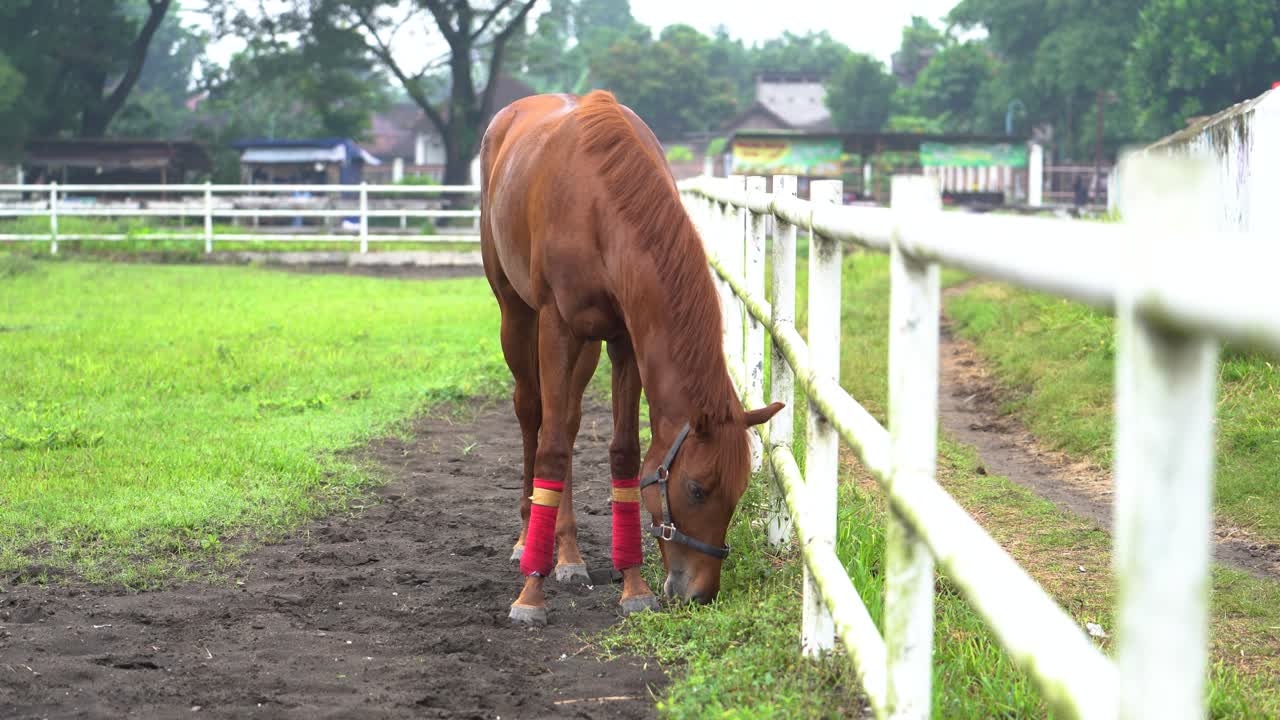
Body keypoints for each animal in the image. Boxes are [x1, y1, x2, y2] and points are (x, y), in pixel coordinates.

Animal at [479, 90, 783, 625]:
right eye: (697, 489)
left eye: (739, 491)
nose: (702, 593)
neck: (601, 202)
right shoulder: (557, 326)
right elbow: (551, 448)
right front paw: (530, 594)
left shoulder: (625, 339)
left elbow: (623, 452)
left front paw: (633, 586)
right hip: (517, 316)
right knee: (535, 416)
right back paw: (526, 540)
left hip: (585, 347)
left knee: (569, 421)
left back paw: (568, 554)